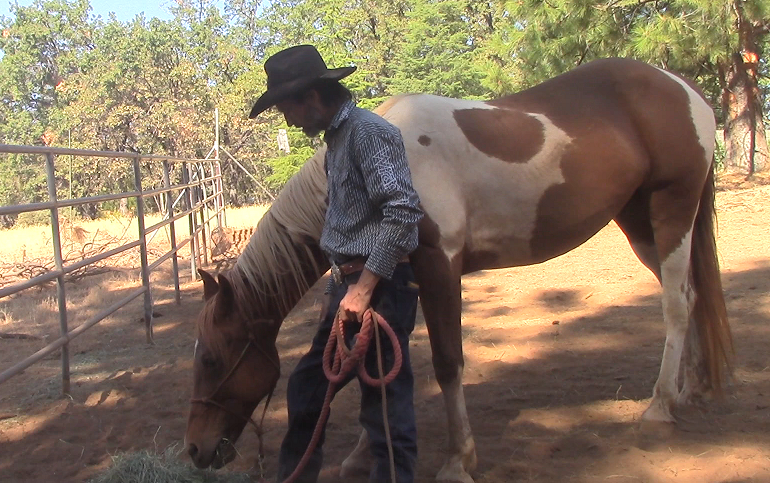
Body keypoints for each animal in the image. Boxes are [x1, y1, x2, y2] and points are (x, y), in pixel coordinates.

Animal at [184, 58, 732, 483]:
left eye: (211, 359)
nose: (195, 450)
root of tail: (685, 89)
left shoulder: (438, 266)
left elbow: (447, 362)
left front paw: (457, 460)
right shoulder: (393, 277)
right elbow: (372, 361)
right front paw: (363, 453)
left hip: (671, 208)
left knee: (677, 305)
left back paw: (659, 407)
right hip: (639, 222)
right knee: (692, 296)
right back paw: (691, 390)